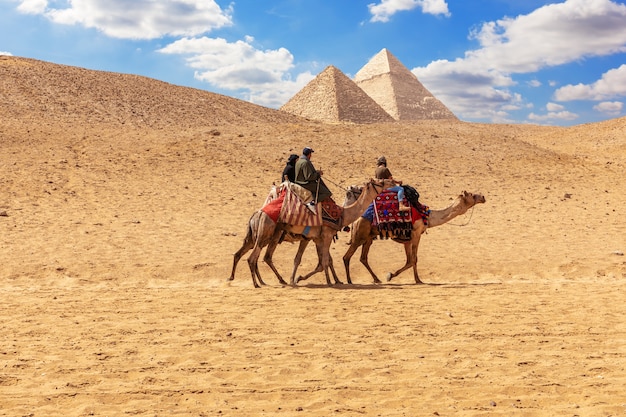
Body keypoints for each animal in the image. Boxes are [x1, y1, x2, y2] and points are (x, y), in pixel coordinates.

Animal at [228, 177, 394, 288]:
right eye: (380, 182)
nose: (392, 181)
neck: (342, 214)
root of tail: (256, 215)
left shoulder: (314, 238)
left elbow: (320, 261)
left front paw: (300, 279)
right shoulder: (325, 236)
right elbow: (324, 261)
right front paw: (325, 281)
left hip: (260, 237)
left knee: (249, 255)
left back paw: (252, 280)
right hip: (266, 234)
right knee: (255, 258)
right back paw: (259, 283)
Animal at [342, 190, 482, 284]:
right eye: (472, 195)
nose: (483, 197)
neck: (427, 216)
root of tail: (355, 220)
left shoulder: (407, 240)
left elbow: (410, 260)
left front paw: (394, 276)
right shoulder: (416, 234)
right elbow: (414, 259)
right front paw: (416, 279)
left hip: (369, 237)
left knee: (363, 258)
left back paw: (376, 279)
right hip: (360, 235)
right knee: (347, 257)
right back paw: (349, 280)